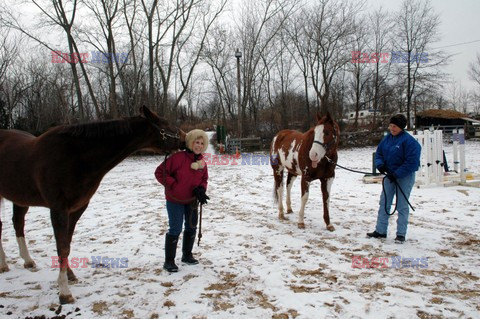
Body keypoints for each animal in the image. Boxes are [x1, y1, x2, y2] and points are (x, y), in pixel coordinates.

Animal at [0, 106, 186, 304]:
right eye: (167, 124)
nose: (185, 138)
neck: (75, 157)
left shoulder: (77, 209)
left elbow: (67, 243)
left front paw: (69, 275)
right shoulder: (58, 209)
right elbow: (62, 246)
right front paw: (64, 292)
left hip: (20, 198)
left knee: (18, 223)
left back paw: (27, 261)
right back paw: (3, 264)